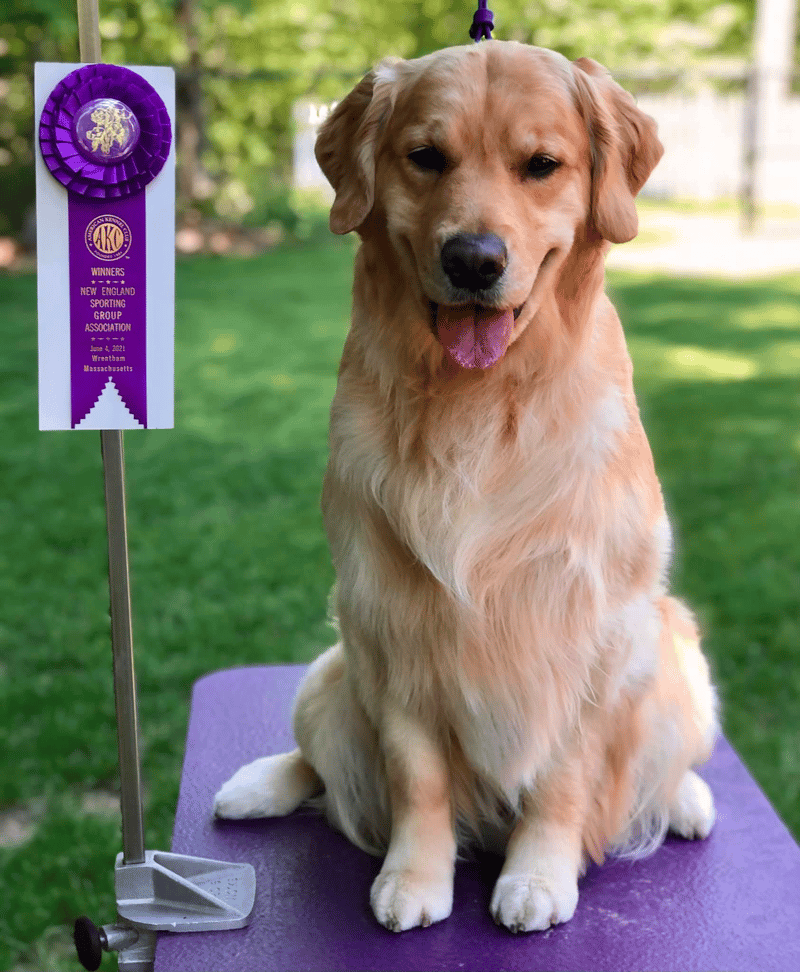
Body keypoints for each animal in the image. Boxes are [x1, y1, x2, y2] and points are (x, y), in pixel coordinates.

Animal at [214, 39, 720, 936]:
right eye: (426, 157)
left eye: (541, 165)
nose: (474, 259)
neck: (480, 403)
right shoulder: (389, 621)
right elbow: (414, 773)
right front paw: (414, 877)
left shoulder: (595, 628)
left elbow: (566, 773)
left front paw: (539, 873)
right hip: (328, 674)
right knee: (318, 760)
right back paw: (256, 785)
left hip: (679, 659)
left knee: (660, 768)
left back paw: (687, 800)